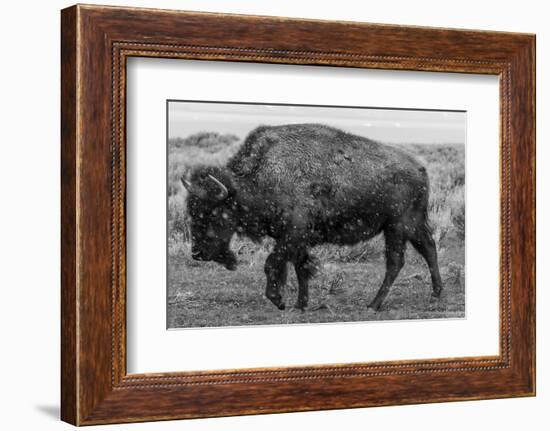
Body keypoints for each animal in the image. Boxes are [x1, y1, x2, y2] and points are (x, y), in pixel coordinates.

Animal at [181, 123, 444, 312]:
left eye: (214, 213)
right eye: (191, 212)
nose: (197, 253)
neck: (259, 177)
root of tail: (420, 169)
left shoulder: (292, 235)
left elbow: (272, 263)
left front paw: (279, 300)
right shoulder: (297, 239)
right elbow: (301, 267)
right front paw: (300, 305)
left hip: (397, 227)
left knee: (396, 262)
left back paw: (374, 305)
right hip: (412, 225)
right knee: (429, 249)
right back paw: (436, 295)